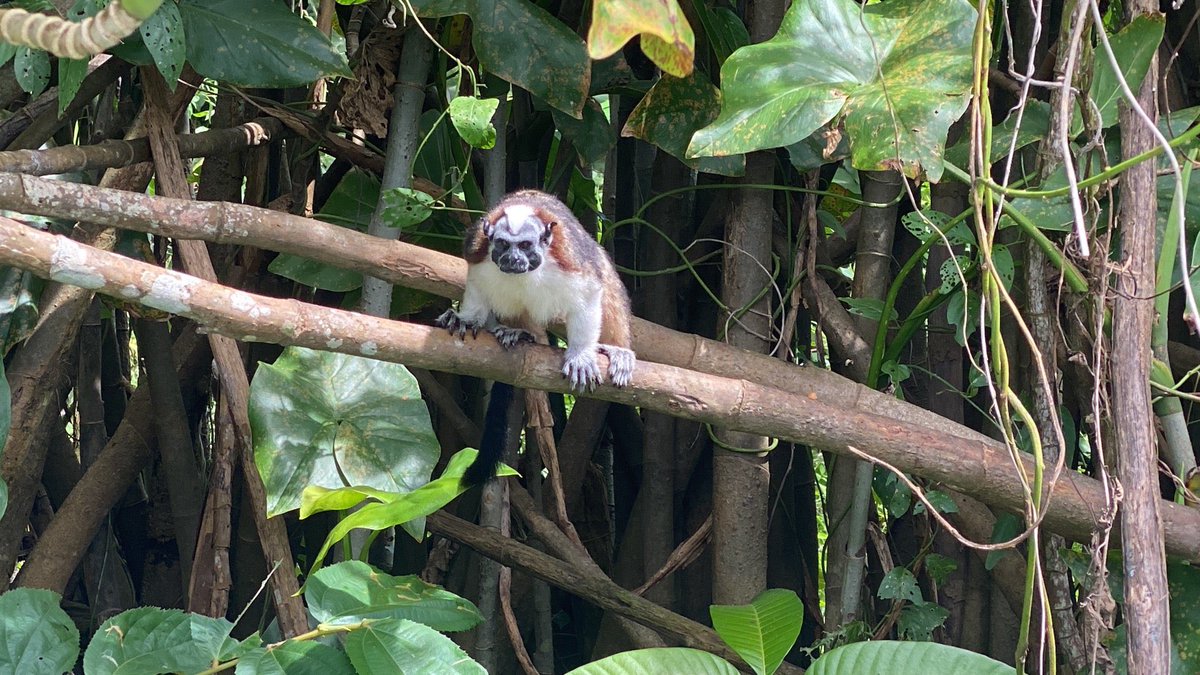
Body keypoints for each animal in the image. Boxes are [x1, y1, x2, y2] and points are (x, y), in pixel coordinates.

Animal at [436, 189, 636, 485]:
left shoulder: (571, 259)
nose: (512, 260)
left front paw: (580, 354)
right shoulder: (477, 251)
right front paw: (467, 319)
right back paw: (520, 332)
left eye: (525, 245)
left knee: (607, 281)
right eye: (503, 245)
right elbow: (477, 287)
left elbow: (590, 292)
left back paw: (617, 349)